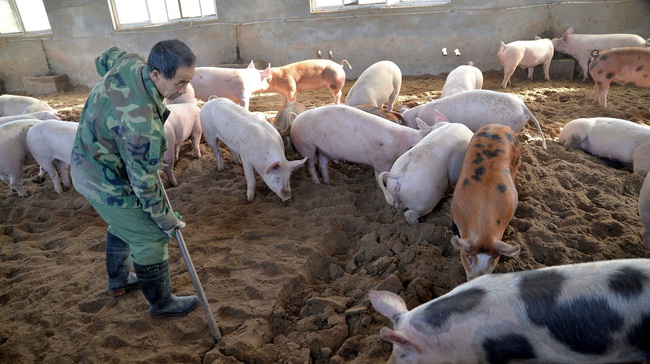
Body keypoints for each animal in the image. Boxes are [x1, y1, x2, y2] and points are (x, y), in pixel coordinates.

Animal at [288, 105, 430, 185]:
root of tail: (296, 119)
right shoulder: (382, 162)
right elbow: (384, 175)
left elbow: (377, 177)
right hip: (306, 146)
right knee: (311, 165)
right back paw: (317, 183)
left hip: (322, 149)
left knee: (323, 165)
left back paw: (329, 183)